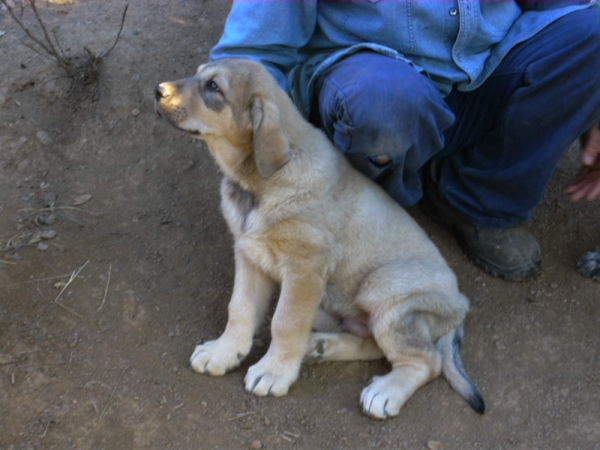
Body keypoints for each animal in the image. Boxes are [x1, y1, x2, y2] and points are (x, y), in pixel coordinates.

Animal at [155, 59, 482, 418]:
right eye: (199, 74)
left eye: (214, 87)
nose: (158, 90)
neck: (258, 183)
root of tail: (460, 308)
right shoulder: (249, 255)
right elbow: (239, 308)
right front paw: (224, 352)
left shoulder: (305, 270)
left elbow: (284, 322)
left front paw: (273, 372)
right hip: (337, 306)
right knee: (375, 344)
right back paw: (322, 345)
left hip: (386, 291)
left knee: (426, 360)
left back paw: (386, 391)